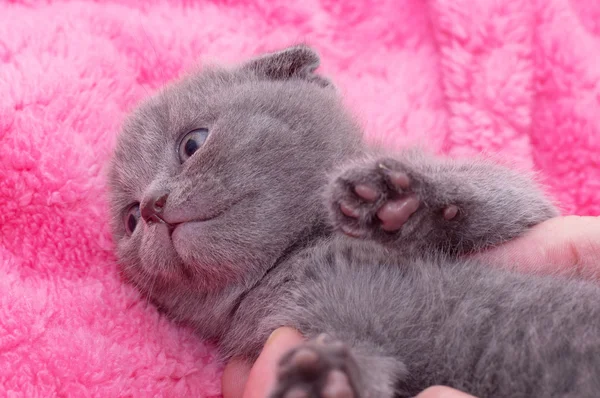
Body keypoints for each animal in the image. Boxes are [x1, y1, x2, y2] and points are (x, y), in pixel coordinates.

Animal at [108, 45, 600, 396]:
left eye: (192, 143)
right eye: (130, 219)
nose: (152, 207)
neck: (296, 254)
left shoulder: (529, 216)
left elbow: (502, 193)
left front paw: (397, 200)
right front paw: (321, 382)